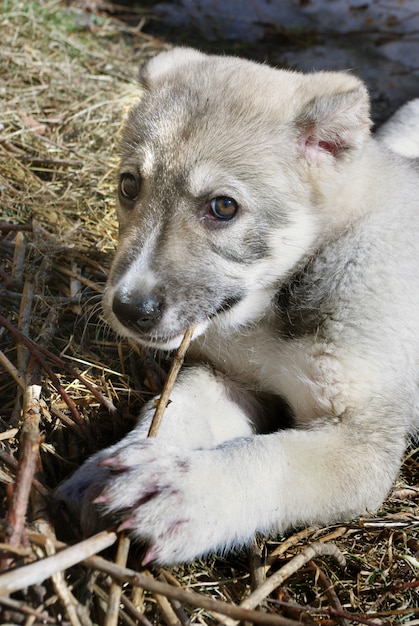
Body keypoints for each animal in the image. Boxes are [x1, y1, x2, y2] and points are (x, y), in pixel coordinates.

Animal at [57, 47, 419, 564]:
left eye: (223, 207)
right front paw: (110, 467)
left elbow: (268, 459)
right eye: (129, 185)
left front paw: (183, 494)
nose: (129, 310)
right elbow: (173, 411)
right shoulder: (230, 377)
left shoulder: (359, 439)